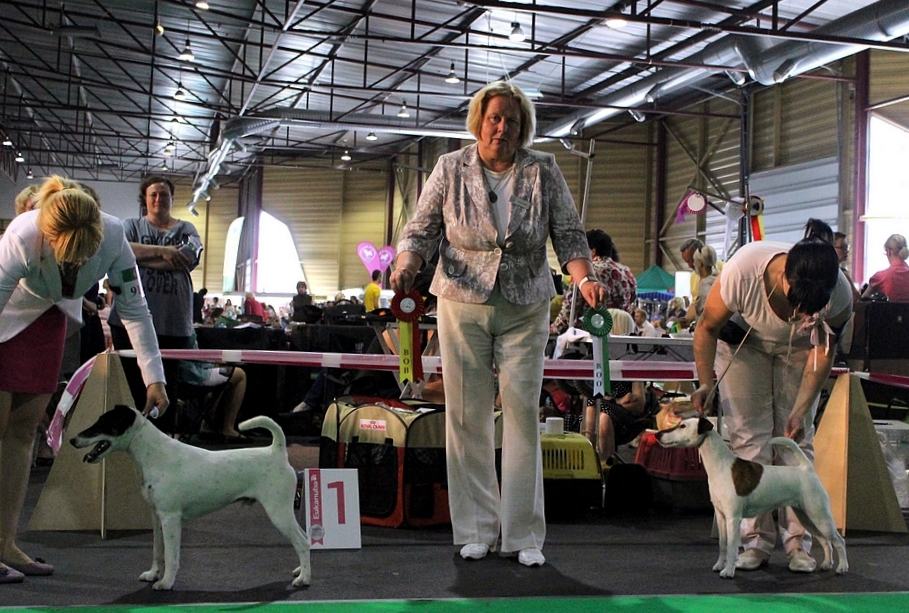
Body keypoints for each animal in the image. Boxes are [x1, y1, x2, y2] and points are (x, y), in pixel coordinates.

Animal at [70, 404, 310, 590]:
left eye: (102, 423)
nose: (72, 440)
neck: (154, 455)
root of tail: (277, 452)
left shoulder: (170, 518)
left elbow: (171, 555)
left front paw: (165, 582)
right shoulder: (156, 516)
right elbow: (157, 550)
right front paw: (153, 574)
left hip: (279, 512)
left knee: (302, 542)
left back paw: (304, 579)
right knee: (304, 538)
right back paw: (300, 570)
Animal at [656, 415, 847, 578]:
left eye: (682, 426)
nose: (658, 434)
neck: (720, 465)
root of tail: (806, 470)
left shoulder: (733, 518)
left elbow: (732, 547)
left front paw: (728, 571)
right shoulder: (721, 516)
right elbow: (723, 544)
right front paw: (719, 565)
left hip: (819, 515)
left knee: (838, 540)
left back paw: (842, 567)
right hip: (807, 517)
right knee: (825, 540)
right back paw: (826, 564)